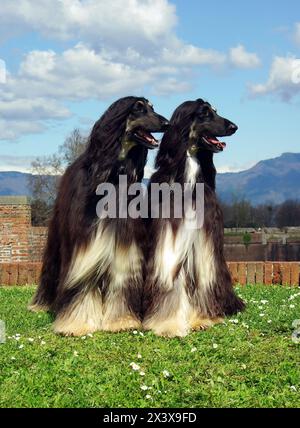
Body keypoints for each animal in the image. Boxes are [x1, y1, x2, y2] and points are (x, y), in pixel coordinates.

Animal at [29, 96, 169, 334]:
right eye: (138, 108)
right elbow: (83, 283)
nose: (166, 123)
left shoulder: (125, 243)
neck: (112, 175)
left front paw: (121, 321)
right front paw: (76, 323)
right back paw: (42, 303)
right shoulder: (85, 244)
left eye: (153, 108)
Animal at [142, 98, 244, 336]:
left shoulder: (205, 239)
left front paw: (201, 319)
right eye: (204, 113)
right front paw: (168, 323)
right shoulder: (168, 236)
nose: (234, 127)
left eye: (215, 111)